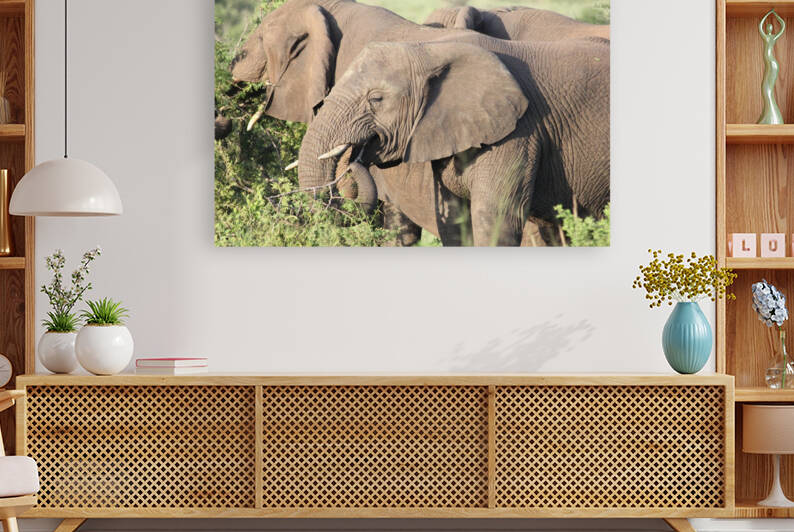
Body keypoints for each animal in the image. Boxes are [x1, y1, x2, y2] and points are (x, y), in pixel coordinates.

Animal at [296, 35, 610, 246]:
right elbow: (457, 225)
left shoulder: (520, 133)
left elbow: (495, 221)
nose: (355, 159)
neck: (430, 50)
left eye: (376, 99)